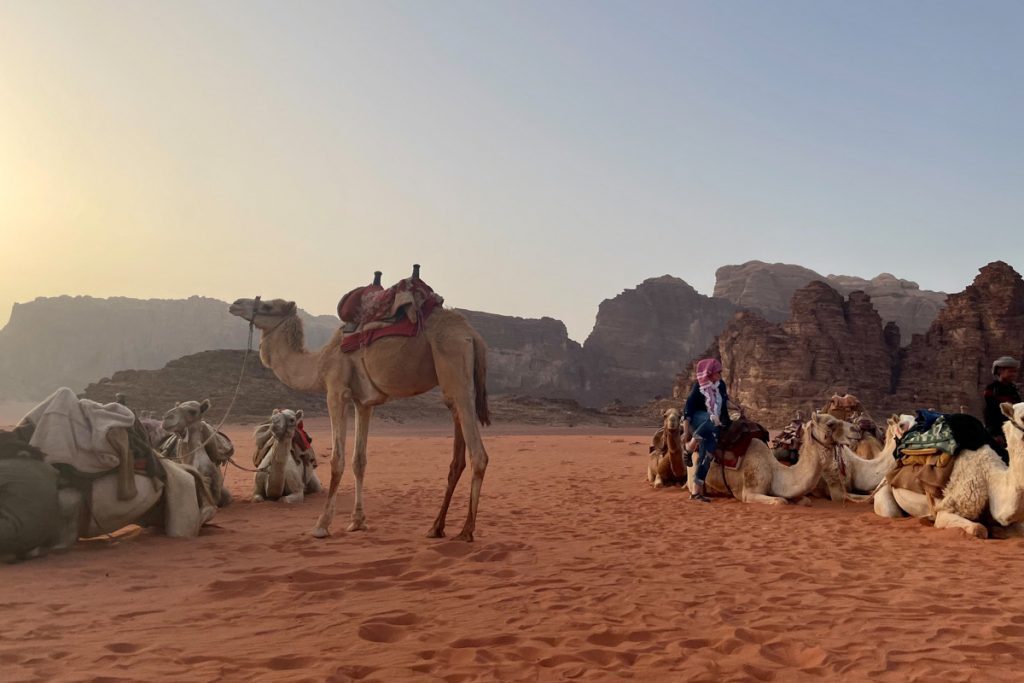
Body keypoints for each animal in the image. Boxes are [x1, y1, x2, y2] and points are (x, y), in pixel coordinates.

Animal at [229, 296, 491, 540]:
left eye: (269, 306)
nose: (236, 304)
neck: (320, 363)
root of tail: (472, 336)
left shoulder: (336, 392)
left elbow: (337, 460)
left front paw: (321, 525)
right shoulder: (363, 403)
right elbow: (359, 461)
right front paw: (357, 522)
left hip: (457, 372)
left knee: (479, 455)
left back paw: (467, 531)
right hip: (452, 386)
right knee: (459, 456)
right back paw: (436, 528)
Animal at [688, 409, 856, 505]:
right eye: (830, 423)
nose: (856, 429)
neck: (775, 472)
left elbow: (805, 500)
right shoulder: (749, 493)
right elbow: (780, 501)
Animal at [872, 401, 1024, 540]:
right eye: (1022, 417)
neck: (989, 478)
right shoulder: (946, 510)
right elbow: (979, 529)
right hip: (886, 496)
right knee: (892, 513)